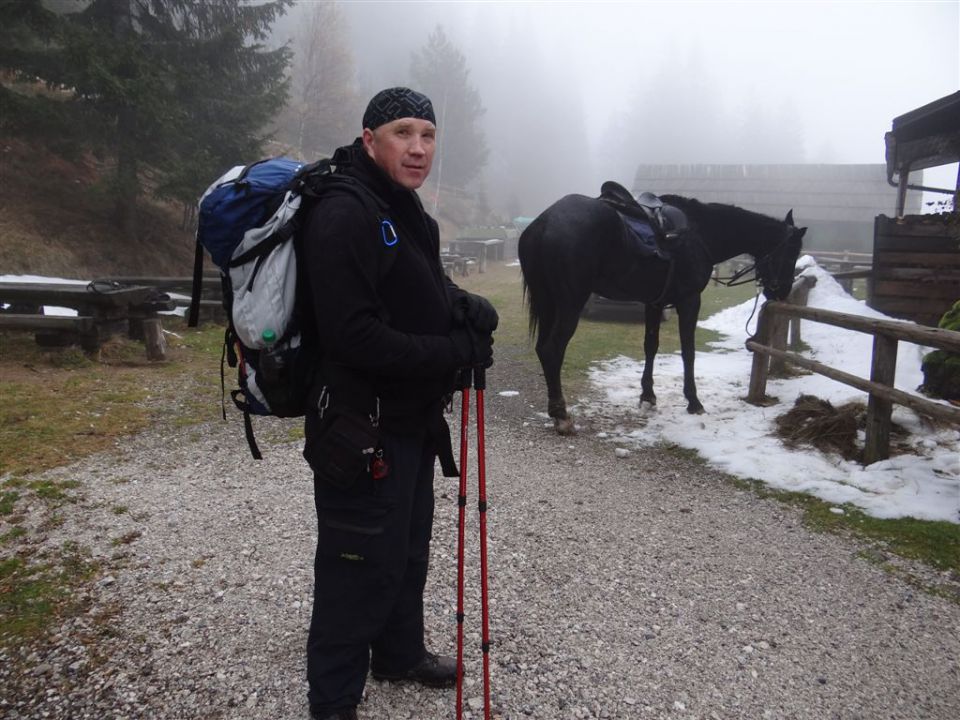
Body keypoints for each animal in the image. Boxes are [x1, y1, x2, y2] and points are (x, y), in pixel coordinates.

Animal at [516, 191, 804, 436]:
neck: (701, 233)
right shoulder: (689, 301)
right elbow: (688, 351)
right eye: (792, 254)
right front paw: (694, 401)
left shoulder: (654, 304)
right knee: (552, 349)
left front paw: (647, 396)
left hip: (549, 303)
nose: (782, 291)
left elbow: (650, 346)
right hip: (569, 304)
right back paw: (561, 415)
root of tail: (545, 222)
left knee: (543, 348)